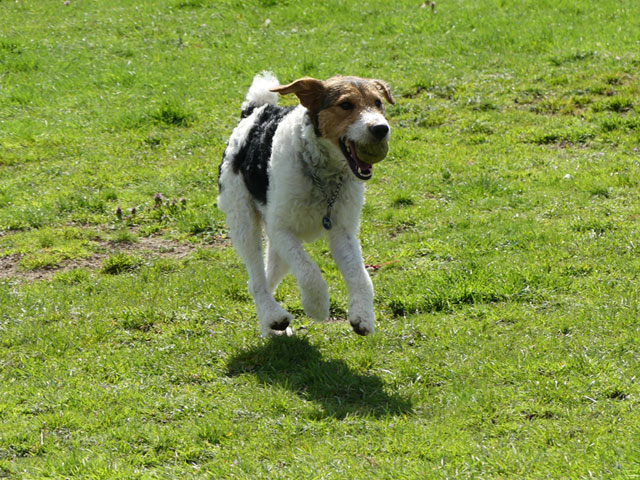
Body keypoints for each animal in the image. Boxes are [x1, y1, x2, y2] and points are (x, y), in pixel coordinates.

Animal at [218, 72, 392, 338]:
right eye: (346, 104)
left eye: (378, 102)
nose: (381, 129)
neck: (322, 172)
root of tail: (254, 112)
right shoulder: (281, 229)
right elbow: (309, 271)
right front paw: (317, 306)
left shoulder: (343, 232)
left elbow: (361, 276)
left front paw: (362, 317)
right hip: (244, 220)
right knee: (256, 280)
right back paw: (274, 317)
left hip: (274, 244)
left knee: (266, 277)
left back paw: (271, 329)